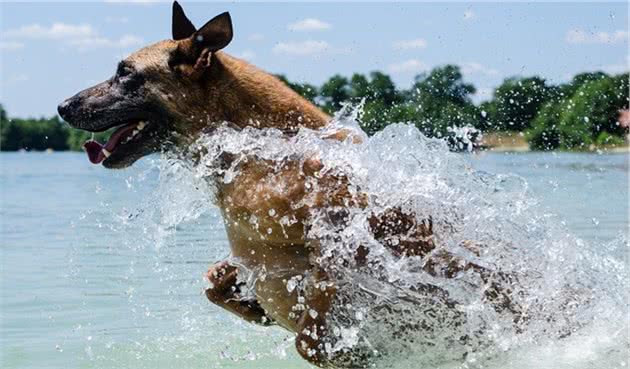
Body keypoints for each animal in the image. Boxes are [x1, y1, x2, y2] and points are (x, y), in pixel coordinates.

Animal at [59, 2, 524, 366]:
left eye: (125, 73)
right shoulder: (256, 255)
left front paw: (348, 351)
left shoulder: (341, 243)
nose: (62, 106)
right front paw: (253, 309)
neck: (257, 150)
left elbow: (309, 336)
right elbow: (213, 282)